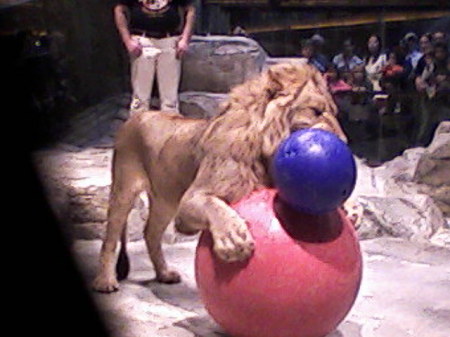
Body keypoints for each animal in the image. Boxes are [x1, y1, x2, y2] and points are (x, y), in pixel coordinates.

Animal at [92, 62, 356, 292]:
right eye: (316, 111)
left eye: (334, 113)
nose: (345, 142)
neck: (265, 149)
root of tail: (135, 117)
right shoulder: (190, 201)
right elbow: (214, 205)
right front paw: (233, 239)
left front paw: (352, 209)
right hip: (124, 190)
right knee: (110, 238)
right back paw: (105, 282)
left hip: (166, 200)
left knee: (150, 233)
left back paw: (164, 274)